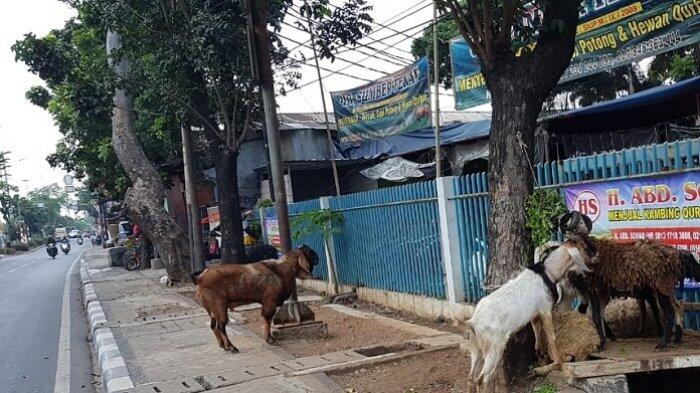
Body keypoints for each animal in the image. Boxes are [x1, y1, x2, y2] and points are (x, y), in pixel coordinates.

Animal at [464, 239, 592, 392]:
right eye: (583, 249)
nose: (595, 259)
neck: (547, 273)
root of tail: (473, 322)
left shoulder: (535, 314)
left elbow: (536, 329)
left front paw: (539, 353)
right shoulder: (545, 309)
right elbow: (551, 337)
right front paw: (558, 363)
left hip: (476, 347)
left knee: (471, 377)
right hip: (494, 348)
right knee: (481, 380)